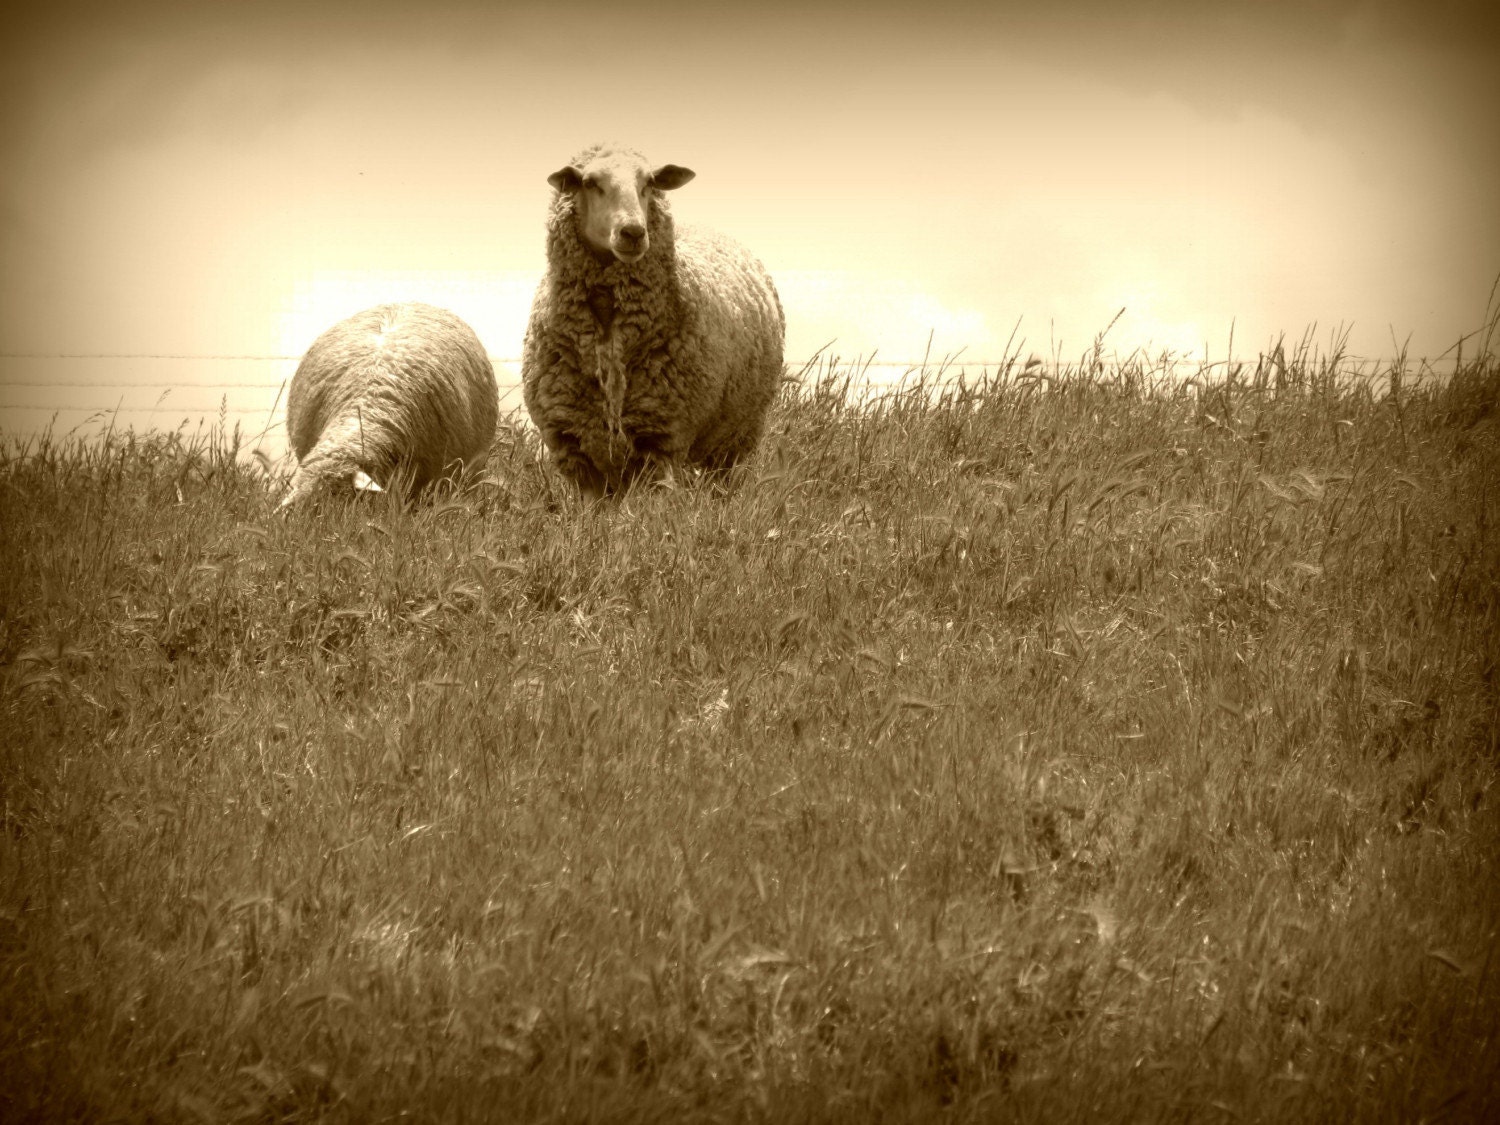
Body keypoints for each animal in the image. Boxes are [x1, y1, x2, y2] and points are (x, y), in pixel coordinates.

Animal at [521, 143, 785, 500]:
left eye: (648, 182)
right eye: (589, 182)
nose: (633, 232)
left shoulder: (660, 441)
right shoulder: (574, 447)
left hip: (736, 436)